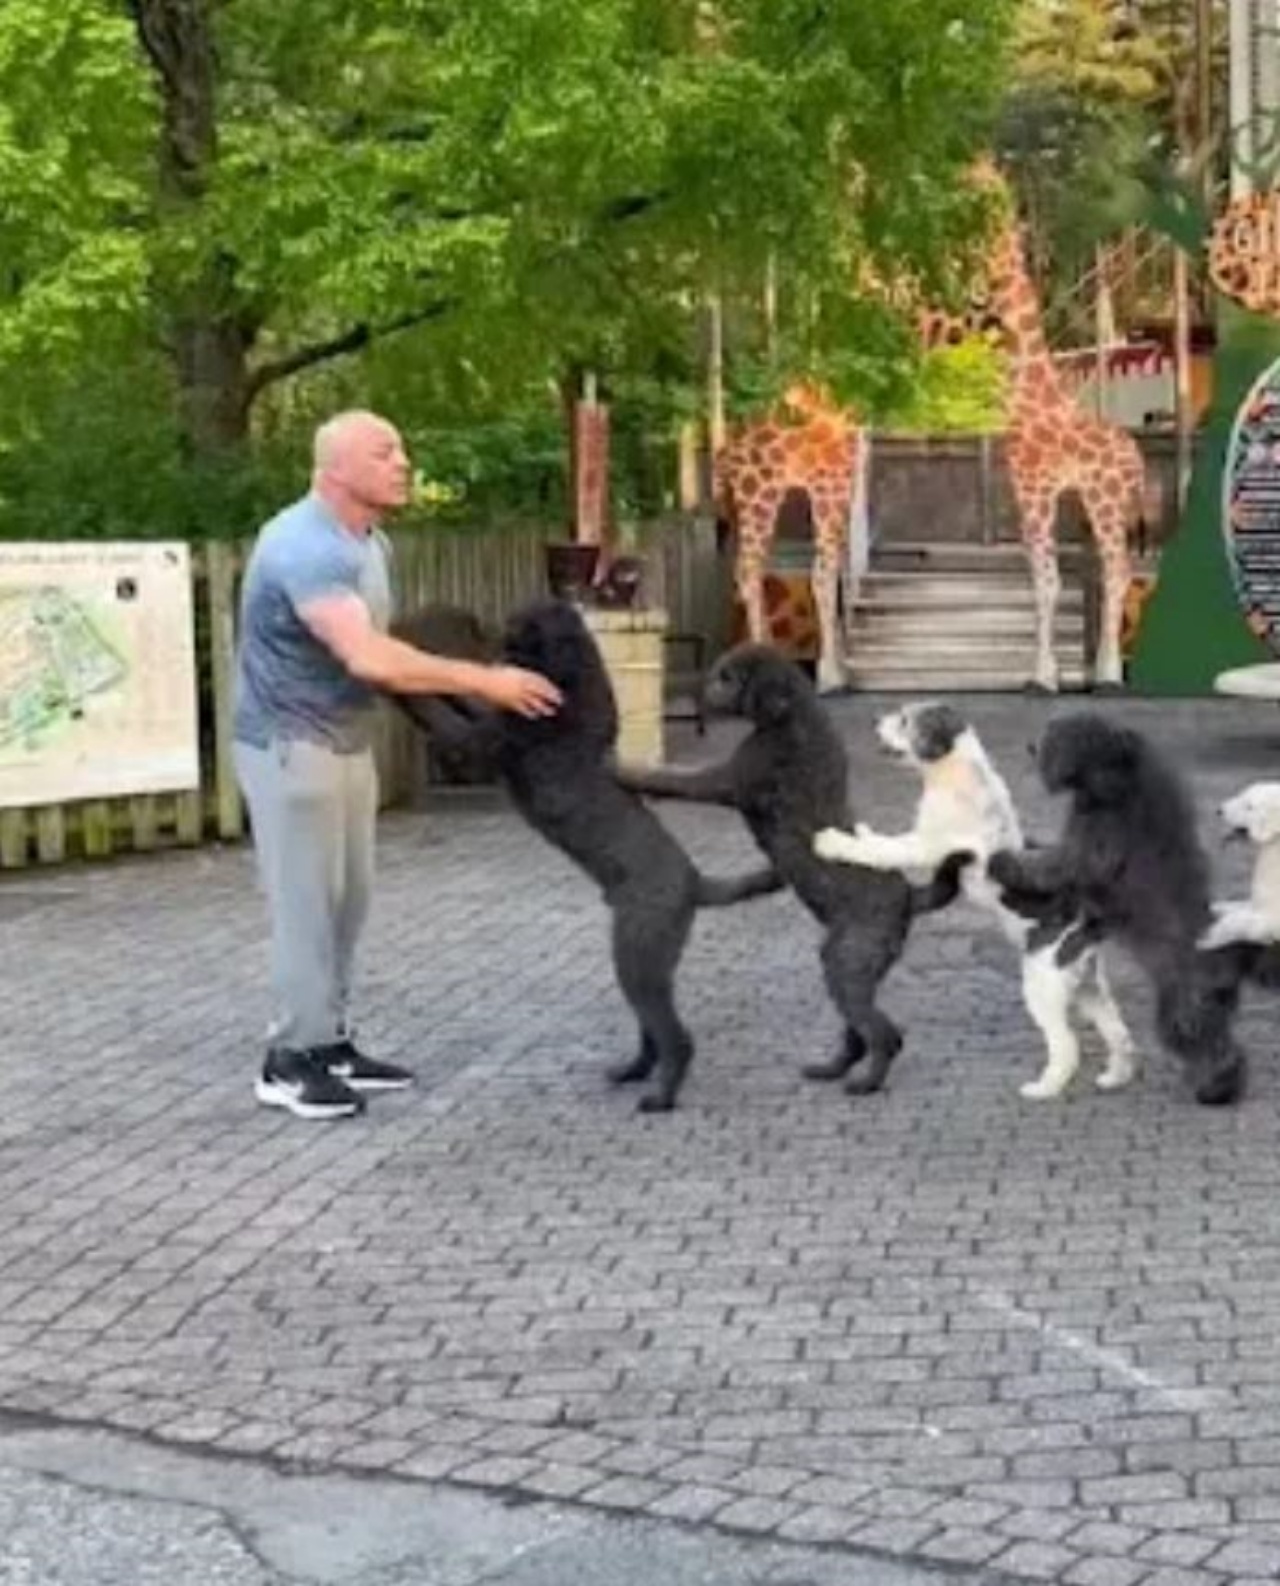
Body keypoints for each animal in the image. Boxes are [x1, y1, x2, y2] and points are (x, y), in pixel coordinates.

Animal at [390, 596, 780, 1116]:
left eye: (526, 622)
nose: (497, 636)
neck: (571, 685)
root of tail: (696, 882)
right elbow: (464, 696)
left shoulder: (480, 740)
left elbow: (438, 710)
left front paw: (392, 680)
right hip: (648, 964)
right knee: (652, 1031)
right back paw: (632, 1071)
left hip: (637, 955)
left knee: (675, 1038)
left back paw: (660, 1096)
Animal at [612, 637, 970, 1097]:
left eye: (727, 676)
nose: (698, 691)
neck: (793, 717)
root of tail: (909, 896)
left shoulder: (724, 780)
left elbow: (671, 778)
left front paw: (621, 769)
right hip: (850, 965)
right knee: (857, 1032)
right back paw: (831, 1068)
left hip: (847, 963)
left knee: (884, 1035)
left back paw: (866, 1082)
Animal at [818, 707, 1135, 1103]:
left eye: (906, 720)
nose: (876, 719)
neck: (954, 770)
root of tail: (1086, 918)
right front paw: (859, 831)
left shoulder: (925, 845)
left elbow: (883, 849)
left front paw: (831, 841)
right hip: (1086, 985)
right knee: (1118, 1031)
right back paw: (1115, 1077)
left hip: (1043, 984)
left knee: (1066, 1044)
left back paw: (1044, 1088)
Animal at [989, 713, 1249, 1110]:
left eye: (1054, 733)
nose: (1031, 746)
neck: (1115, 778)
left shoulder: (1094, 844)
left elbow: (1055, 865)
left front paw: (1005, 860)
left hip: (1182, 1005)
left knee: (1205, 1043)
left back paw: (1215, 1087)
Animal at [1199, 783, 1280, 951]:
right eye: (1242, 794)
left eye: (1249, 806)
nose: (1220, 810)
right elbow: (1248, 904)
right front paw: (1217, 906)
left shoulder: (1274, 920)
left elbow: (1248, 922)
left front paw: (1209, 937)